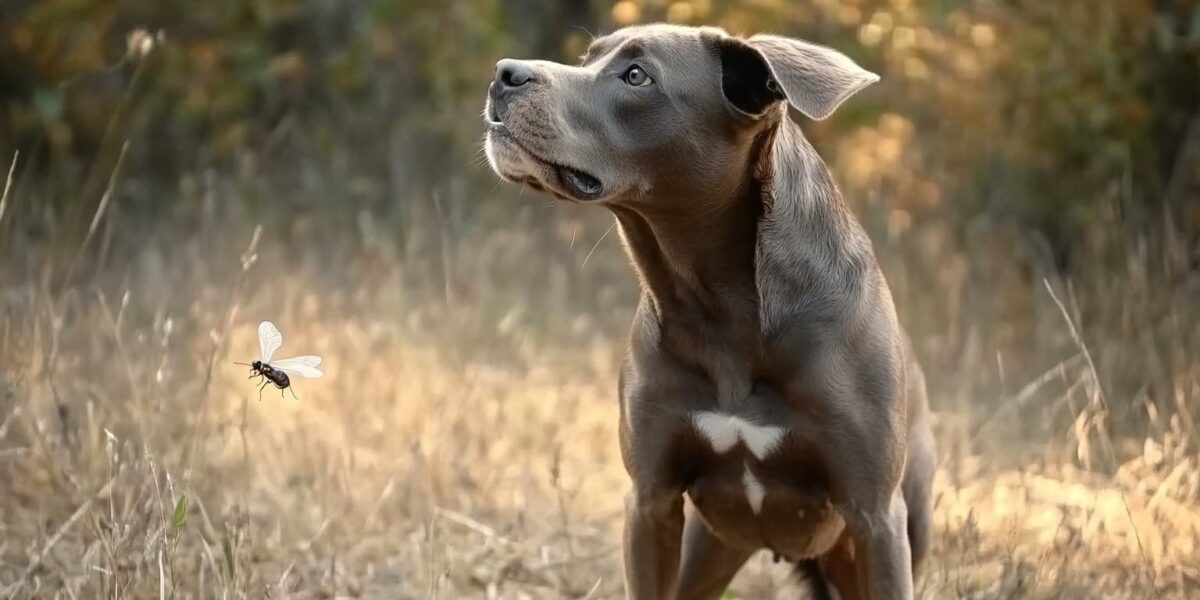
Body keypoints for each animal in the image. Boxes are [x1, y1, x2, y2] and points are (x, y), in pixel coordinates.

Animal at [482, 24, 931, 600]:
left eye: (637, 75)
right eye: (587, 58)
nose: (505, 73)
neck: (721, 307)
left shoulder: (874, 516)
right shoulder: (651, 501)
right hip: (709, 547)